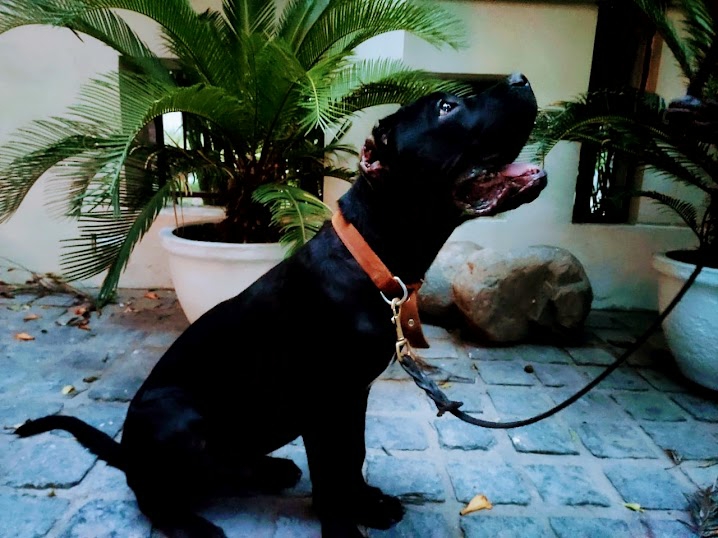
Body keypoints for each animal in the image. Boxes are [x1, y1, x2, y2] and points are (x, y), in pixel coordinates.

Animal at [15, 73, 547, 538]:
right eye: (446, 107)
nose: (521, 78)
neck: (370, 258)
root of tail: (129, 452)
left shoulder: (353, 396)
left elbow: (352, 458)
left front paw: (366, 503)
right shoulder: (324, 402)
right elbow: (332, 476)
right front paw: (345, 525)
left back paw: (267, 470)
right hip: (179, 418)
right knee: (153, 498)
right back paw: (195, 525)